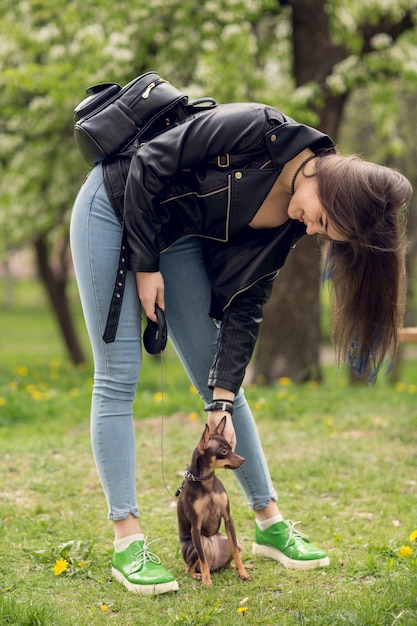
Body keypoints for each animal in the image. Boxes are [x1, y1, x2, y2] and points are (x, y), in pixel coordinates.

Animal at [176, 414, 250, 584]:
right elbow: (203, 560)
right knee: (191, 568)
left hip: (233, 542)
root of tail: (215, 564)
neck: (206, 482)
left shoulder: (228, 519)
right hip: (199, 542)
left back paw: (241, 567)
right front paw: (206, 581)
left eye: (231, 447)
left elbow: (236, 553)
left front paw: (242, 572)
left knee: (230, 560)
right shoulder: (195, 527)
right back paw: (199, 575)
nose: (243, 459)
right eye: (223, 451)